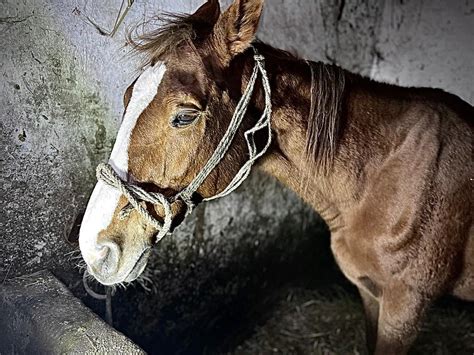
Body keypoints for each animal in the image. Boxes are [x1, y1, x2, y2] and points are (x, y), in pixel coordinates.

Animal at [78, 1, 474, 354]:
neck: (379, 176)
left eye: (184, 116)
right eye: (127, 96)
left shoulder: (405, 305)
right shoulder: (368, 294)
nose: (95, 247)